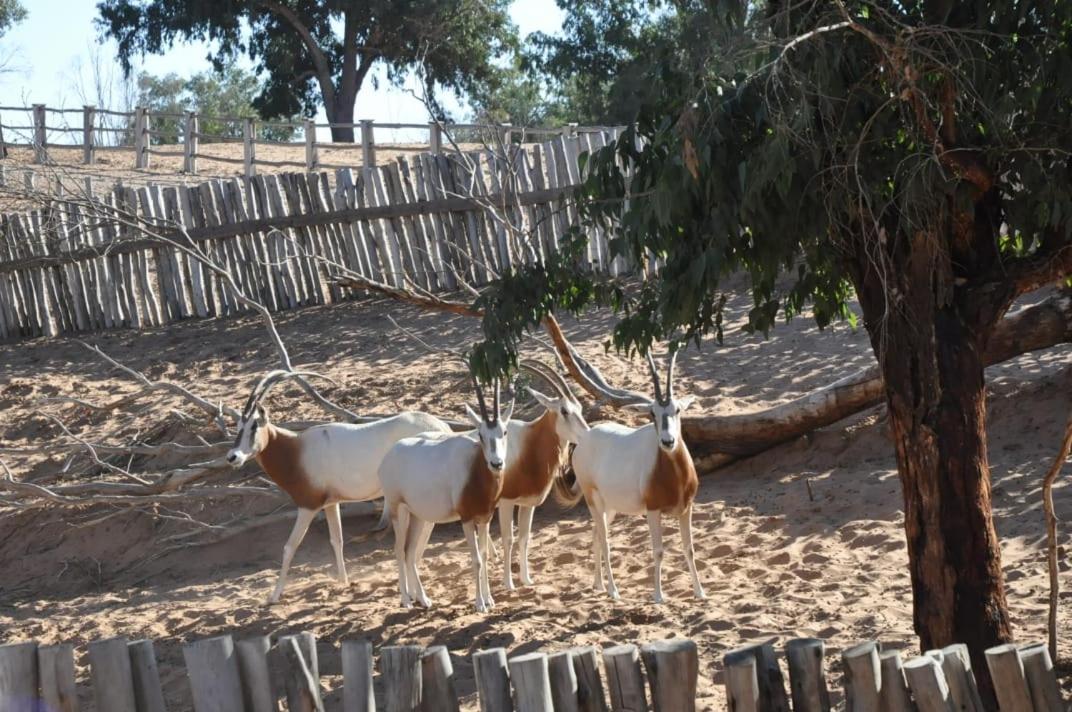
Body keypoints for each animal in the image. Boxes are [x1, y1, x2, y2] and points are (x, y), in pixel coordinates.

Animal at [226, 368, 452, 604]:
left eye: (254, 426)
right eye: (238, 426)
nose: (232, 457)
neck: (296, 449)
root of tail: (443, 426)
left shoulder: (308, 505)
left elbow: (290, 546)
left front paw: (274, 596)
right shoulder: (330, 503)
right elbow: (337, 540)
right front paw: (343, 582)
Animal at [379, 375, 512, 613]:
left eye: (503, 432)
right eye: (481, 434)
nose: (496, 463)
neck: (473, 467)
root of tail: (389, 455)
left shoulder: (485, 518)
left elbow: (485, 555)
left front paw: (490, 599)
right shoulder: (466, 518)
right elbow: (476, 559)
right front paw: (480, 604)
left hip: (419, 517)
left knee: (410, 551)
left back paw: (423, 599)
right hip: (398, 511)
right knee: (398, 549)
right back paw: (406, 600)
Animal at [566, 349, 707, 600]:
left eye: (677, 410)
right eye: (652, 412)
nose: (668, 441)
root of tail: (585, 439)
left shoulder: (686, 508)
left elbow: (689, 548)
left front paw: (700, 592)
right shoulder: (652, 510)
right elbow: (658, 550)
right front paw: (658, 596)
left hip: (610, 507)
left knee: (595, 534)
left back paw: (599, 585)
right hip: (593, 500)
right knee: (604, 539)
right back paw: (613, 590)